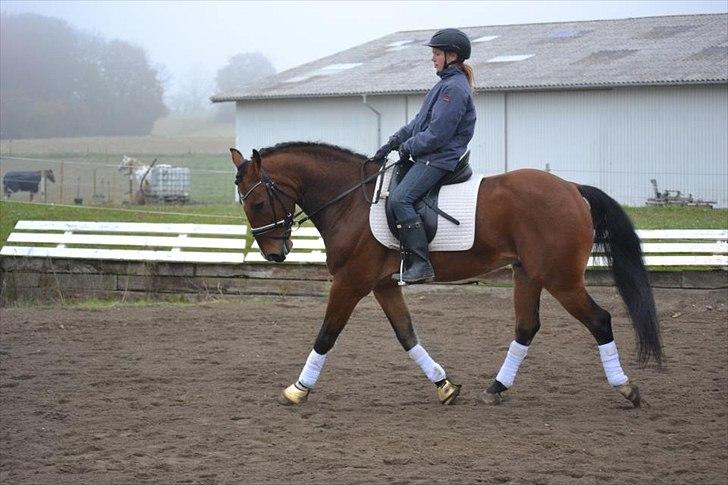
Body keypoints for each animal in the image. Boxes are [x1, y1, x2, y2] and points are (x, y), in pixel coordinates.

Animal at [230, 142, 664, 406]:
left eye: (256, 202)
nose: (275, 254)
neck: (350, 201)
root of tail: (572, 188)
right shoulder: (383, 285)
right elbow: (407, 336)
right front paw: (445, 387)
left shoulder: (351, 282)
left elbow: (326, 335)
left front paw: (297, 390)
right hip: (528, 274)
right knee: (526, 327)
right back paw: (495, 388)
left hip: (561, 279)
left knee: (599, 320)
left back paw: (626, 388)